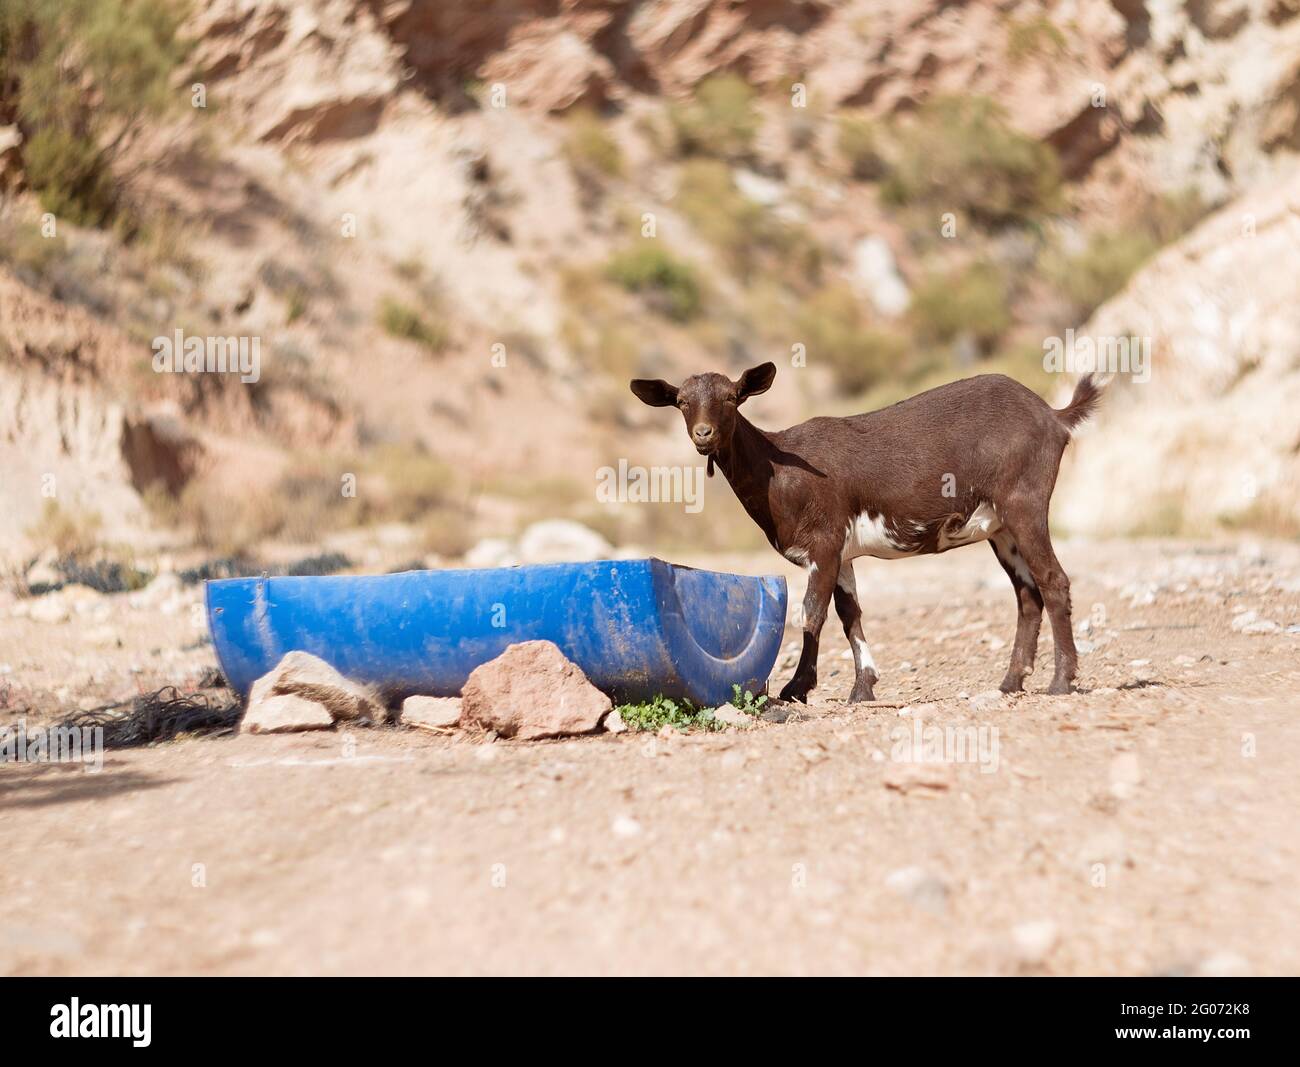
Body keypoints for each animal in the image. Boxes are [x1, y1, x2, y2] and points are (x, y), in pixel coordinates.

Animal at [634, 366, 1102, 707]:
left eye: (731, 397)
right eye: (681, 402)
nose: (704, 435)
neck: (779, 472)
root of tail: (1053, 416)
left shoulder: (823, 544)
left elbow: (812, 614)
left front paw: (796, 688)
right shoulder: (843, 554)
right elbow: (850, 615)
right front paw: (863, 688)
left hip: (1024, 503)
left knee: (1053, 581)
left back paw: (1061, 681)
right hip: (1000, 528)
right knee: (1027, 595)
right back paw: (1010, 682)